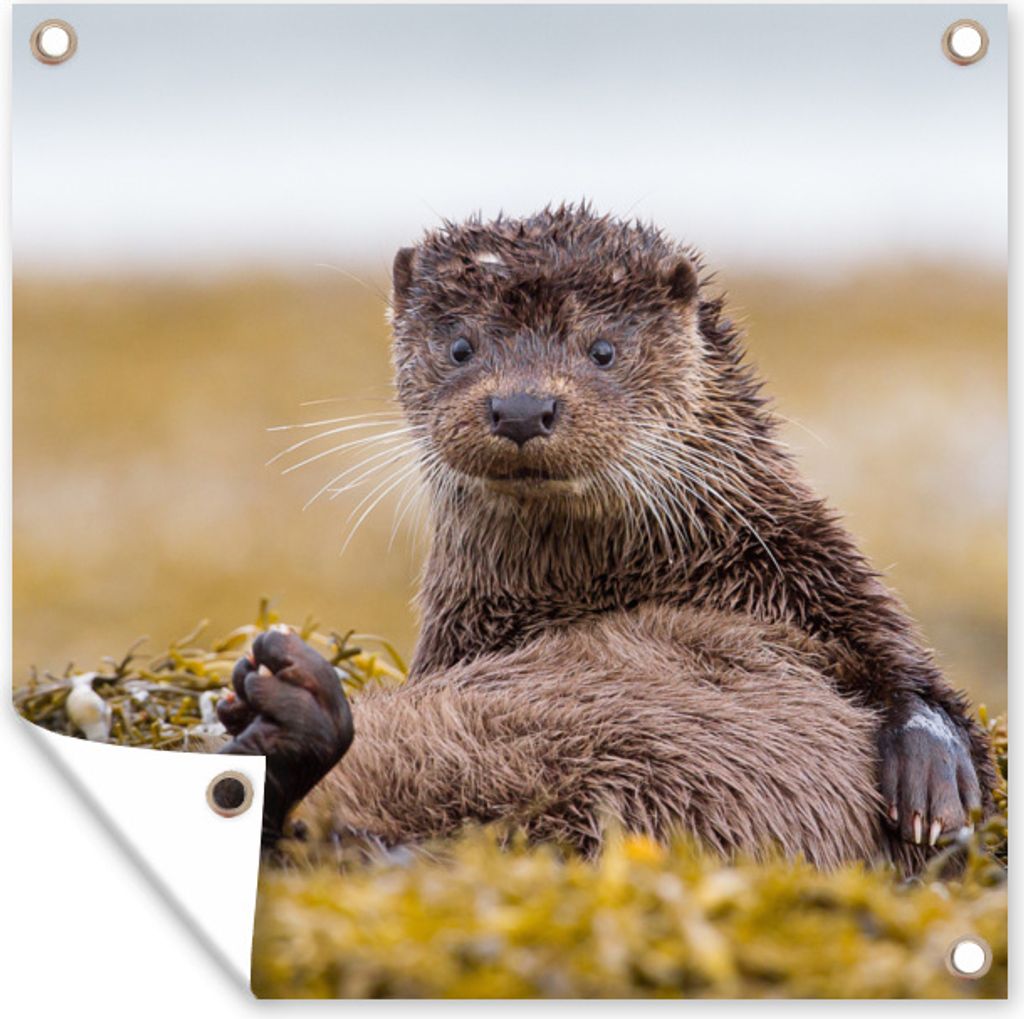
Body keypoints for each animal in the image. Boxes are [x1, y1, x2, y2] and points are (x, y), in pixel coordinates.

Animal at [217, 205, 995, 870]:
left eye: (603, 349)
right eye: (461, 346)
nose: (521, 406)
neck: (627, 582)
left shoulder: (818, 570)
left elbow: (918, 681)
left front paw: (930, 780)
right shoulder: (458, 640)